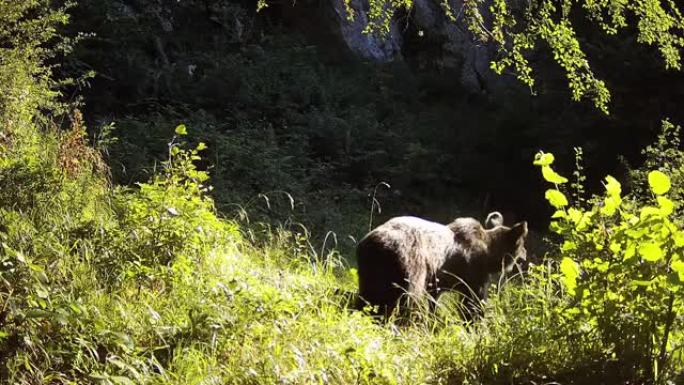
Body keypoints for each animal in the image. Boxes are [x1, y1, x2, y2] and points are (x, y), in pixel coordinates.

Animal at [356, 212, 528, 316]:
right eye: (522, 245)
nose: (525, 257)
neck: (489, 255)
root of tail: (373, 242)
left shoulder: (437, 281)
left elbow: (433, 302)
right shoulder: (472, 275)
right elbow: (473, 304)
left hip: (372, 268)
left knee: (369, 297)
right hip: (409, 264)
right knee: (409, 298)